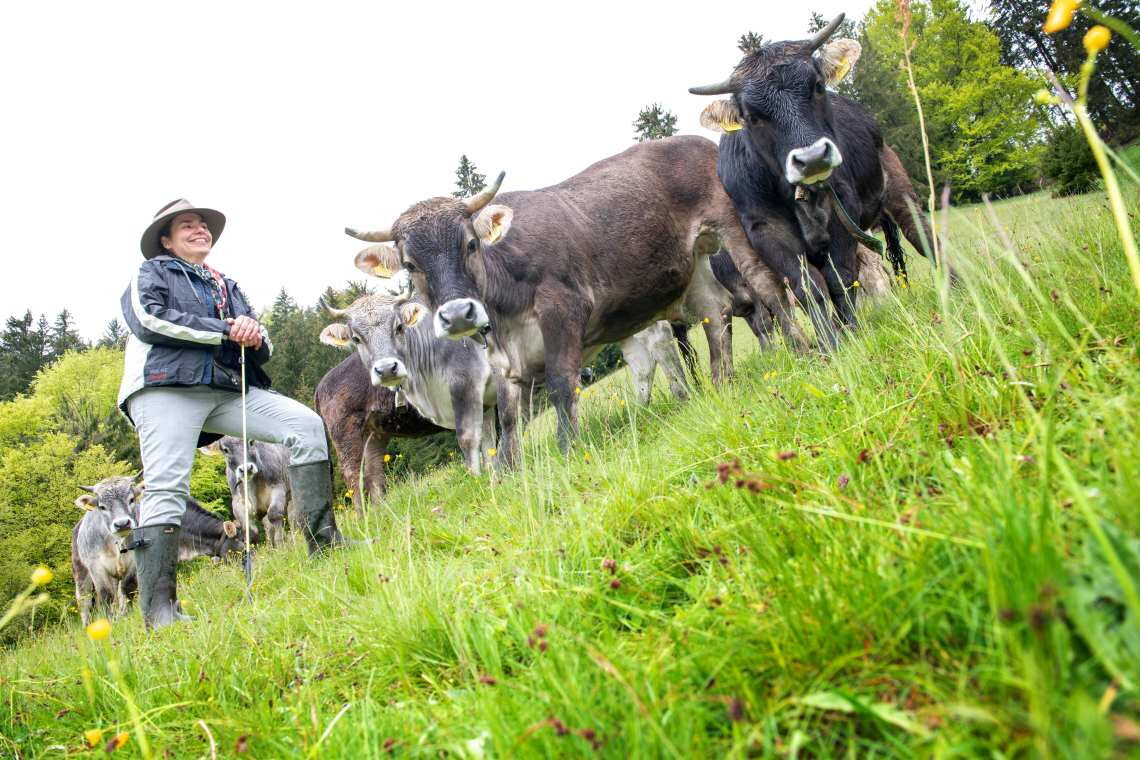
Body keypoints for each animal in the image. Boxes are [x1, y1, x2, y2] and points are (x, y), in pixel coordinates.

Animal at [71, 475, 242, 625]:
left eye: (131, 499)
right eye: (241, 545)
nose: (122, 524)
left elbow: (131, 588)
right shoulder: (98, 568)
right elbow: (107, 596)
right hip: (82, 574)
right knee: (85, 602)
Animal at [314, 354, 445, 512]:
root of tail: (320, 386)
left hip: (373, 433)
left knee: (373, 473)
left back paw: (380, 512)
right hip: (345, 430)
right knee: (354, 476)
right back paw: (363, 515)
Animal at [319, 279, 498, 475]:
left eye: (399, 327)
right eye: (356, 338)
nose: (386, 369)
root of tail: (322, 384)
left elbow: (489, 445)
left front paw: (495, 478)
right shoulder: (466, 386)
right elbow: (470, 440)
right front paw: (478, 480)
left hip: (373, 436)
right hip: (346, 439)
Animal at [346, 135, 805, 464]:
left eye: (471, 244)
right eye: (410, 265)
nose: (459, 314)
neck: (504, 311)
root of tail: (696, 140)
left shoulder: (562, 310)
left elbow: (561, 383)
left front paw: (568, 452)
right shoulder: (502, 360)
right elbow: (508, 421)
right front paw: (511, 476)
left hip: (730, 223)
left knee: (764, 284)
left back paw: (804, 349)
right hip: (692, 266)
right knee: (715, 311)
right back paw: (722, 381)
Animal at [688, 14, 947, 350]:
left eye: (818, 86)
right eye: (752, 116)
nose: (811, 158)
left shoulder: (843, 211)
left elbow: (840, 279)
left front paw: (851, 332)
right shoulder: (766, 232)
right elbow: (808, 288)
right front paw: (830, 343)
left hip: (897, 186)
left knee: (921, 235)